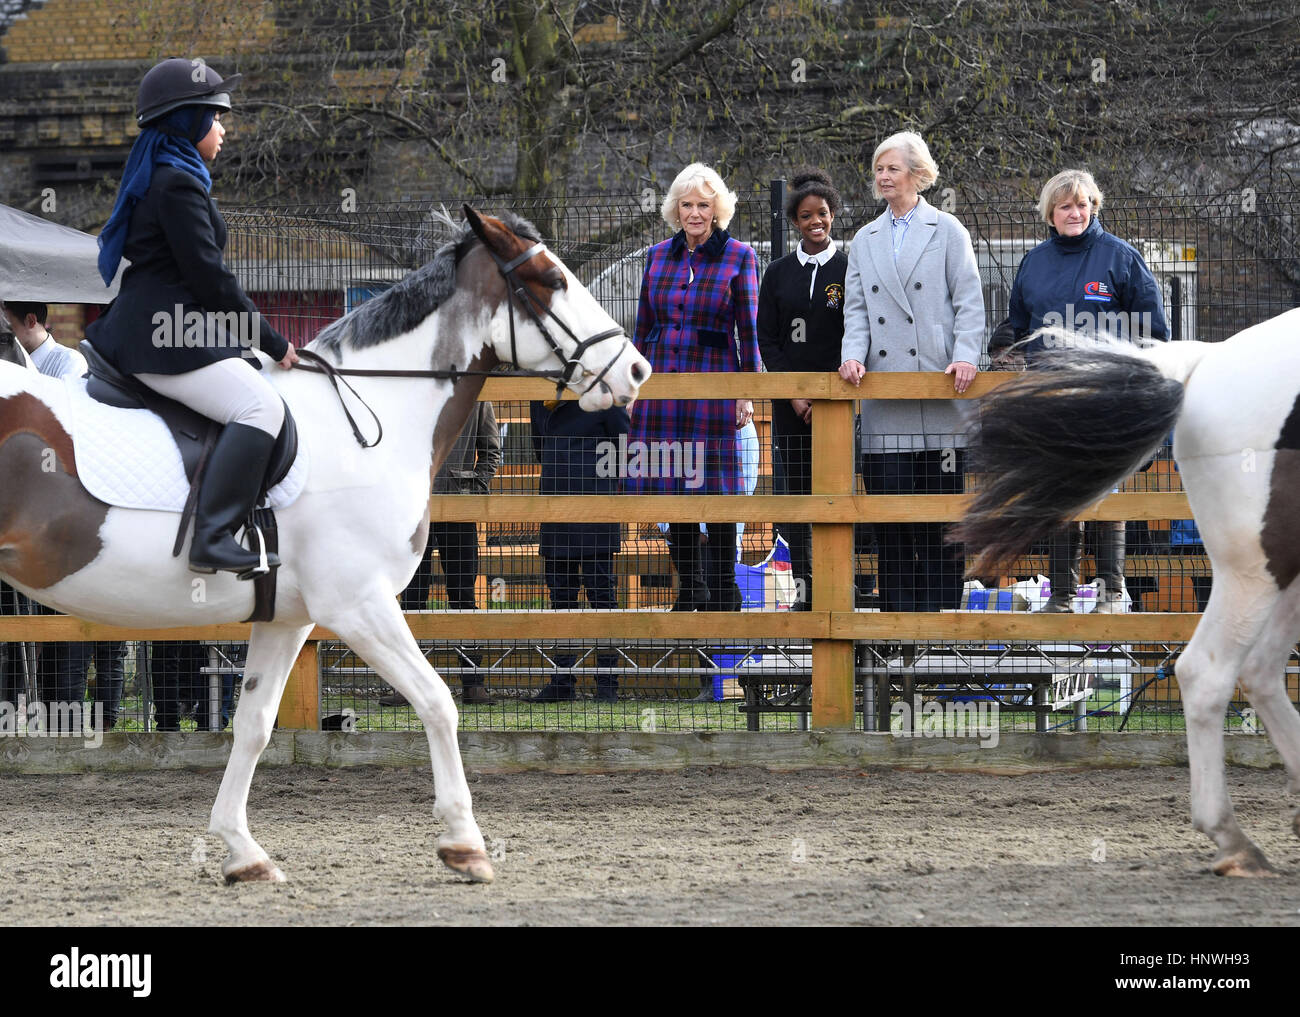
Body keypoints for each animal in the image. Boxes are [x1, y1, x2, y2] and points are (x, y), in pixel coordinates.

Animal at [0, 206, 651, 884]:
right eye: (552, 280)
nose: (636, 370)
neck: (371, 414)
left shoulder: (288, 618)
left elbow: (253, 726)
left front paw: (242, 850)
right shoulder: (358, 604)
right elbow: (438, 700)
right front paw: (464, 844)